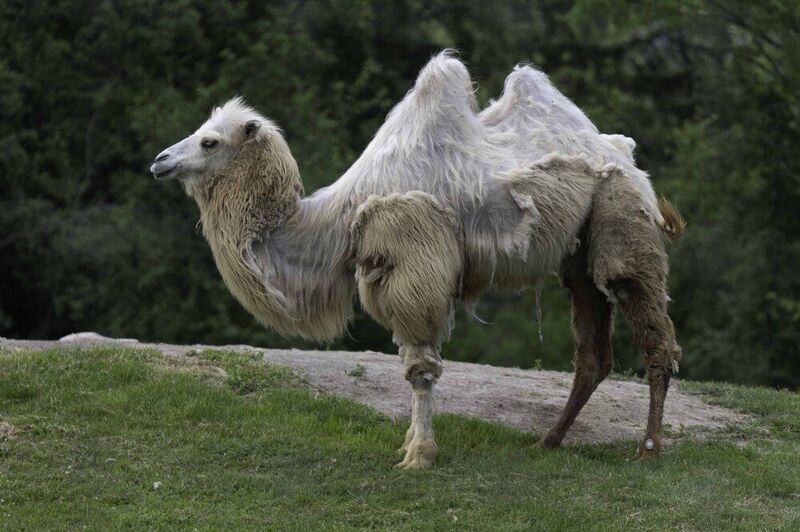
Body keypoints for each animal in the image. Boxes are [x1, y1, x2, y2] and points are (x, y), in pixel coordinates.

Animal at [151, 51, 684, 469]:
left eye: (210, 141)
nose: (159, 160)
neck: (338, 220)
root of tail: (622, 150)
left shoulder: (415, 261)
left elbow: (420, 369)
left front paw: (419, 455)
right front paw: (411, 443)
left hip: (622, 212)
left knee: (648, 323)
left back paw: (648, 449)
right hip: (577, 255)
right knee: (593, 353)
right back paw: (547, 441)